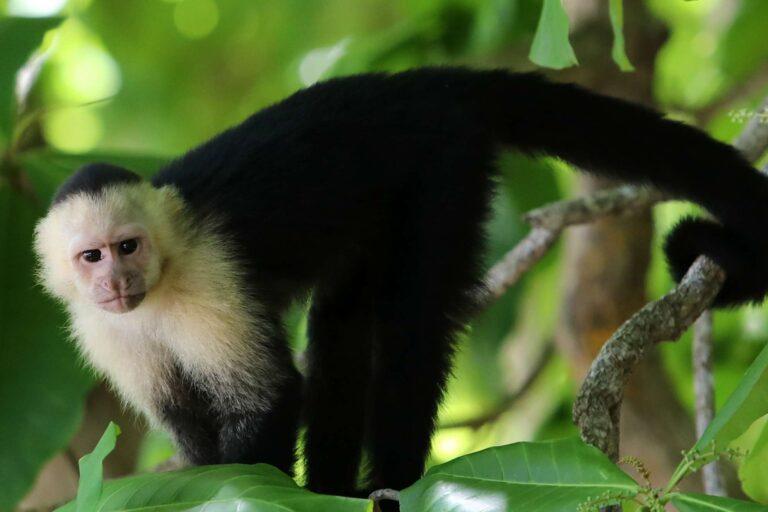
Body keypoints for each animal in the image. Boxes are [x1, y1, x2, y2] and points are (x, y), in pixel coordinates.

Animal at [34, 67, 768, 496]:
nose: (116, 279)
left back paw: (391, 483)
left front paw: (253, 486)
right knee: (343, 329)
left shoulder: (208, 281)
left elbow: (269, 399)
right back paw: (332, 489)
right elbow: (186, 421)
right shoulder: (103, 331)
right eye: (91, 257)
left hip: (444, 163)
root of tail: (417, 83)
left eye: (127, 245)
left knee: (410, 324)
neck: (157, 289)